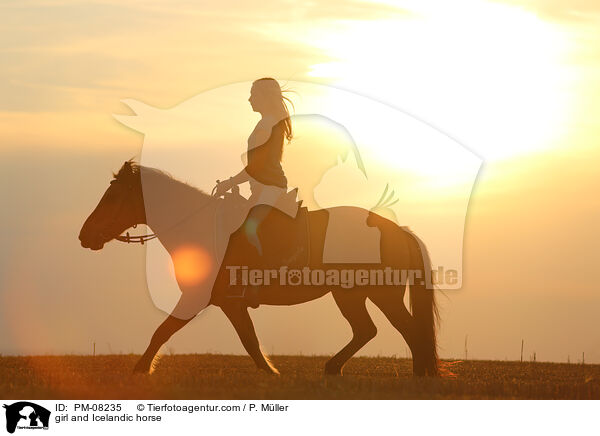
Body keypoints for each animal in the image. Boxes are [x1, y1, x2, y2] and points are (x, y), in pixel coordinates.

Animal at [77, 162, 438, 376]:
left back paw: (421, 376)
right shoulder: (231, 304)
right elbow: (249, 341)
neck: (200, 227)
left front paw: (140, 370)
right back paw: (334, 368)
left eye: (112, 197)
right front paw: (271, 374)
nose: (84, 235)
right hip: (351, 295)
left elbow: (162, 331)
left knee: (408, 330)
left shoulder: (198, 298)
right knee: (367, 330)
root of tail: (398, 230)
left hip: (381, 294)